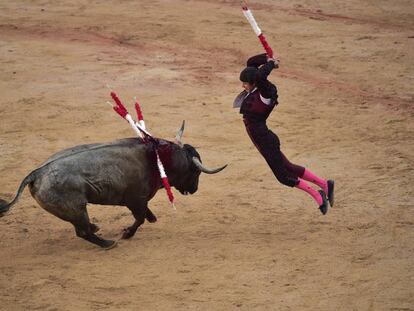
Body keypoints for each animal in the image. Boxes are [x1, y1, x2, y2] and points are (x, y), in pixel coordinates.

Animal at [0, 123, 226, 250]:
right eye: (195, 172)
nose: (194, 189)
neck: (156, 158)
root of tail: (36, 173)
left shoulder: (139, 201)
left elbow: (145, 215)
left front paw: (151, 218)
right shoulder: (135, 200)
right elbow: (139, 218)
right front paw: (127, 233)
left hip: (73, 210)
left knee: (82, 228)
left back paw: (96, 228)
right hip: (75, 208)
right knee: (82, 232)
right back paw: (108, 243)